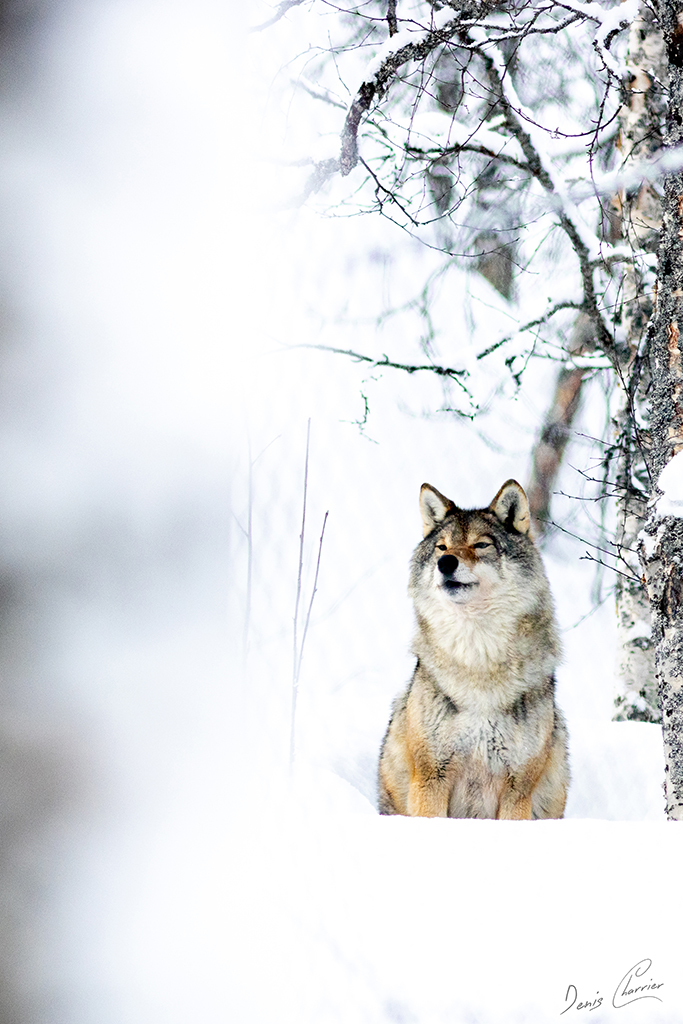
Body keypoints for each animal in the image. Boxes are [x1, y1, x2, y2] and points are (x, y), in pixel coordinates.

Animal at [378, 479, 569, 819]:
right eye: (442, 547)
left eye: (481, 545)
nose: (445, 563)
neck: (478, 661)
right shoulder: (431, 775)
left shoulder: (518, 787)